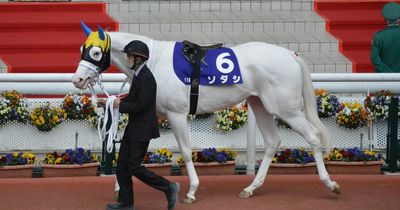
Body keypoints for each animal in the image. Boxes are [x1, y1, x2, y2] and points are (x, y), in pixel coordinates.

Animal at [72, 25, 340, 203]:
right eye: (82, 48)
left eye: (95, 53)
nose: (77, 80)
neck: (154, 62)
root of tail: (290, 55)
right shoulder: (152, 113)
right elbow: (131, 151)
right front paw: (119, 186)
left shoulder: (176, 114)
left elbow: (186, 152)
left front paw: (191, 191)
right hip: (260, 104)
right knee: (273, 141)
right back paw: (251, 188)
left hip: (286, 108)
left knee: (313, 137)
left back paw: (330, 184)